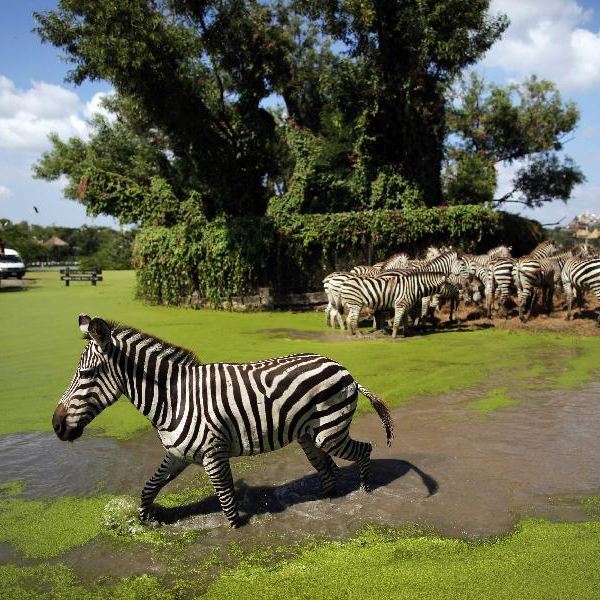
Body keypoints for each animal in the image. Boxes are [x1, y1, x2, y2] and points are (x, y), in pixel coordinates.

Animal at [51, 316, 394, 528]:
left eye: (86, 374)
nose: (55, 425)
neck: (173, 399)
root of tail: (342, 367)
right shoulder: (176, 455)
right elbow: (149, 488)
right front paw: (145, 520)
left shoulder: (214, 456)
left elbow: (228, 506)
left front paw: (236, 529)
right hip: (309, 436)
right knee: (328, 469)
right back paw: (326, 500)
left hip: (330, 432)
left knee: (365, 449)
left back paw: (365, 491)